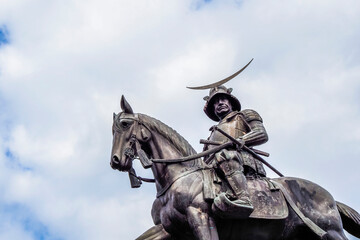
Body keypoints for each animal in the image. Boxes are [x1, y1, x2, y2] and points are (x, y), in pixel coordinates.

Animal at [110, 96, 360, 240]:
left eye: (125, 124)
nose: (115, 160)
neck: (177, 177)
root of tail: (330, 198)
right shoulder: (169, 229)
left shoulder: (201, 218)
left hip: (332, 232)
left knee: (227, 156)